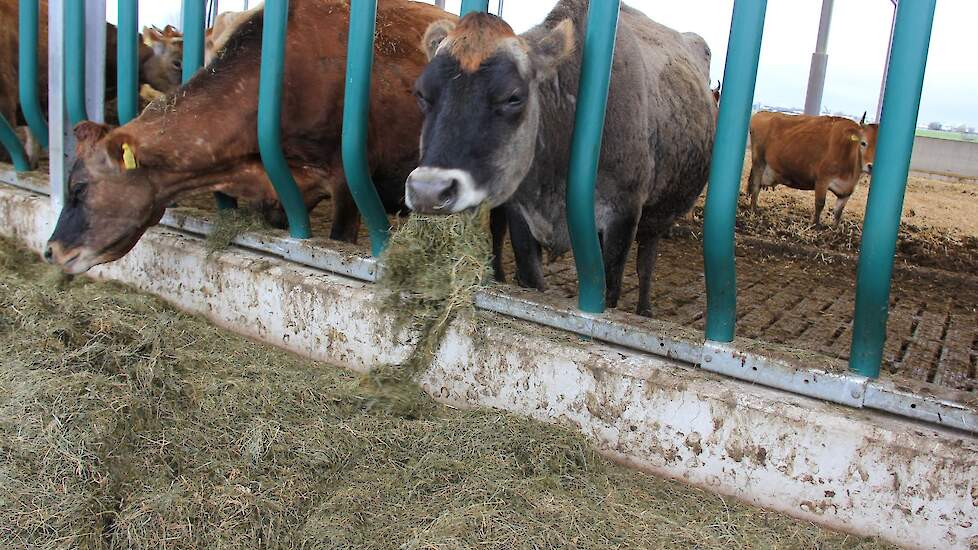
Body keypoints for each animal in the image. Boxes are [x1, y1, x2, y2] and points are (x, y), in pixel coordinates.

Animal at [404, 0, 716, 316]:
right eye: (421, 93)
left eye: (513, 97)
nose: (428, 190)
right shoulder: (521, 213)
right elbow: (531, 278)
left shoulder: (623, 216)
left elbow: (610, 288)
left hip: (660, 213)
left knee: (646, 261)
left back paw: (644, 310)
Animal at [748, 112, 876, 229]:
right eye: (863, 143)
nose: (871, 166)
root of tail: (761, 113)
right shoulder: (822, 180)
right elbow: (820, 203)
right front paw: (815, 226)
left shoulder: (846, 191)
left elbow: (838, 212)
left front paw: (834, 230)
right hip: (759, 162)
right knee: (755, 186)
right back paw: (754, 211)